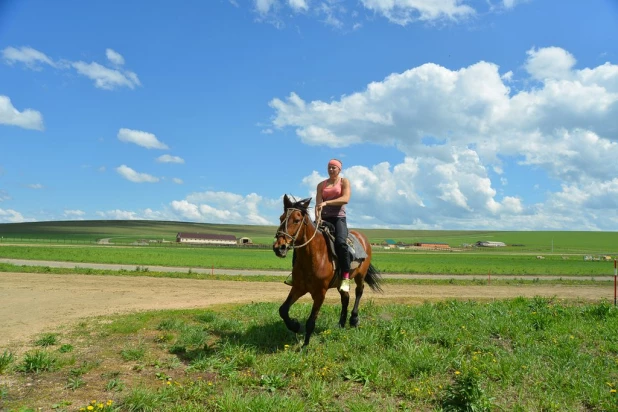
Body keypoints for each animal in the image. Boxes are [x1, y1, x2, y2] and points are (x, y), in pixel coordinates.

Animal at [270, 195, 380, 346]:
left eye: (296, 220)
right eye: (281, 218)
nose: (279, 247)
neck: (314, 255)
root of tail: (362, 237)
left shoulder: (320, 293)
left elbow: (311, 321)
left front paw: (304, 345)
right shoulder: (298, 287)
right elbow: (283, 310)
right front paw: (295, 326)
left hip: (360, 275)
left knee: (359, 291)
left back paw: (354, 320)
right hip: (341, 283)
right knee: (345, 298)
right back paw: (341, 324)